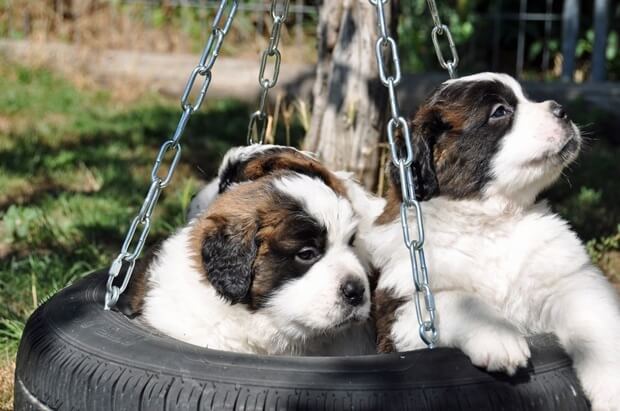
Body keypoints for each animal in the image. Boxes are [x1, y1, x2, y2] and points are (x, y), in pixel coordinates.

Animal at [364, 72, 620, 410]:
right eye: (500, 111)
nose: (561, 110)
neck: (493, 220)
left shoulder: (571, 281)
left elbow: (600, 326)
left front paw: (613, 388)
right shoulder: (399, 314)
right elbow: (457, 299)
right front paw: (499, 335)